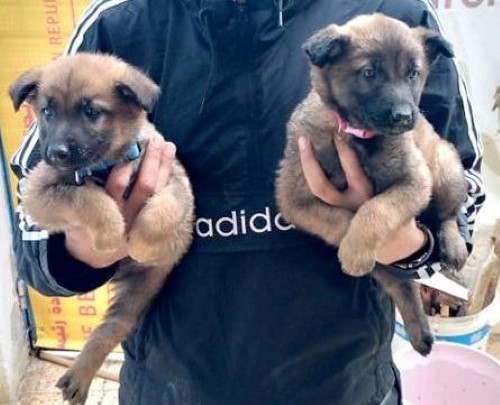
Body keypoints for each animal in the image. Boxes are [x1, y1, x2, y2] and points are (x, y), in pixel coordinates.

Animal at [9, 53, 195, 404]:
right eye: (47, 111)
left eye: (91, 112)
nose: (56, 153)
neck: (107, 164)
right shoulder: (39, 193)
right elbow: (86, 196)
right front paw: (111, 232)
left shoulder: (177, 181)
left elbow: (166, 208)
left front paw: (142, 241)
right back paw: (78, 377)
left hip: (140, 290)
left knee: (113, 327)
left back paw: (80, 376)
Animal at [275, 14, 468, 356]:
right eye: (369, 73)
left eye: (413, 74)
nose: (404, 117)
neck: (359, 136)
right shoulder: (295, 199)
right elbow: (341, 219)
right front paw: (353, 250)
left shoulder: (415, 181)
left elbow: (375, 209)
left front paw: (354, 250)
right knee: (401, 284)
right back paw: (420, 333)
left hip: (444, 165)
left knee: (448, 214)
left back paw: (453, 243)